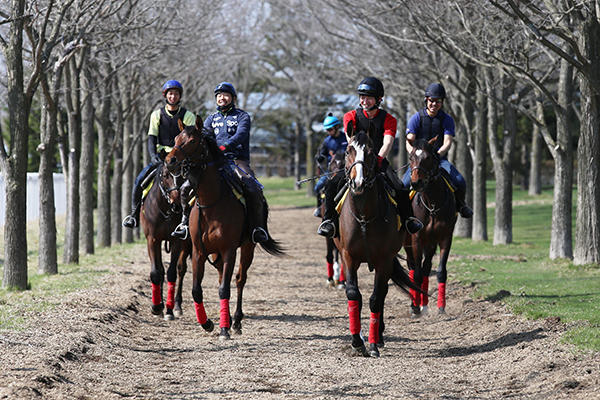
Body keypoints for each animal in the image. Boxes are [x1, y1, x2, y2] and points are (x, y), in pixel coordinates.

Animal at [139, 161, 191, 320]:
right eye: (166, 175)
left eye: (184, 174)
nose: (177, 202)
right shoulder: (153, 240)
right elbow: (157, 272)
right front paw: (157, 307)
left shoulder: (177, 241)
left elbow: (172, 272)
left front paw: (169, 310)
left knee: (181, 269)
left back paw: (177, 306)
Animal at [164, 116, 286, 340]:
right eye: (176, 138)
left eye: (192, 141)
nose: (170, 161)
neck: (211, 202)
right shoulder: (199, 252)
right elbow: (197, 290)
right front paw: (208, 324)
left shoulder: (229, 250)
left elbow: (224, 289)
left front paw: (223, 329)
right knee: (223, 277)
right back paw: (227, 319)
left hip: (247, 248)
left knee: (238, 280)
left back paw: (235, 321)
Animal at [332, 123, 418, 358]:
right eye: (348, 151)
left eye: (371, 153)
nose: (358, 182)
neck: (364, 215)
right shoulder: (348, 257)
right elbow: (354, 294)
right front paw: (356, 341)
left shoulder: (384, 260)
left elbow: (375, 299)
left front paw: (372, 344)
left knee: (382, 295)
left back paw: (377, 337)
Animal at [404, 136, 460, 318]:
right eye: (410, 157)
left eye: (428, 158)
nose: (416, 183)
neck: (432, 204)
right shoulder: (416, 238)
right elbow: (417, 274)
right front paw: (414, 307)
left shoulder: (445, 237)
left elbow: (441, 271)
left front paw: (441, 307)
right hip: (408, 242)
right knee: (413, 268)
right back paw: (416, 304)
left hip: (430, 243)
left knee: (426, 268)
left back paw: (425, 304)